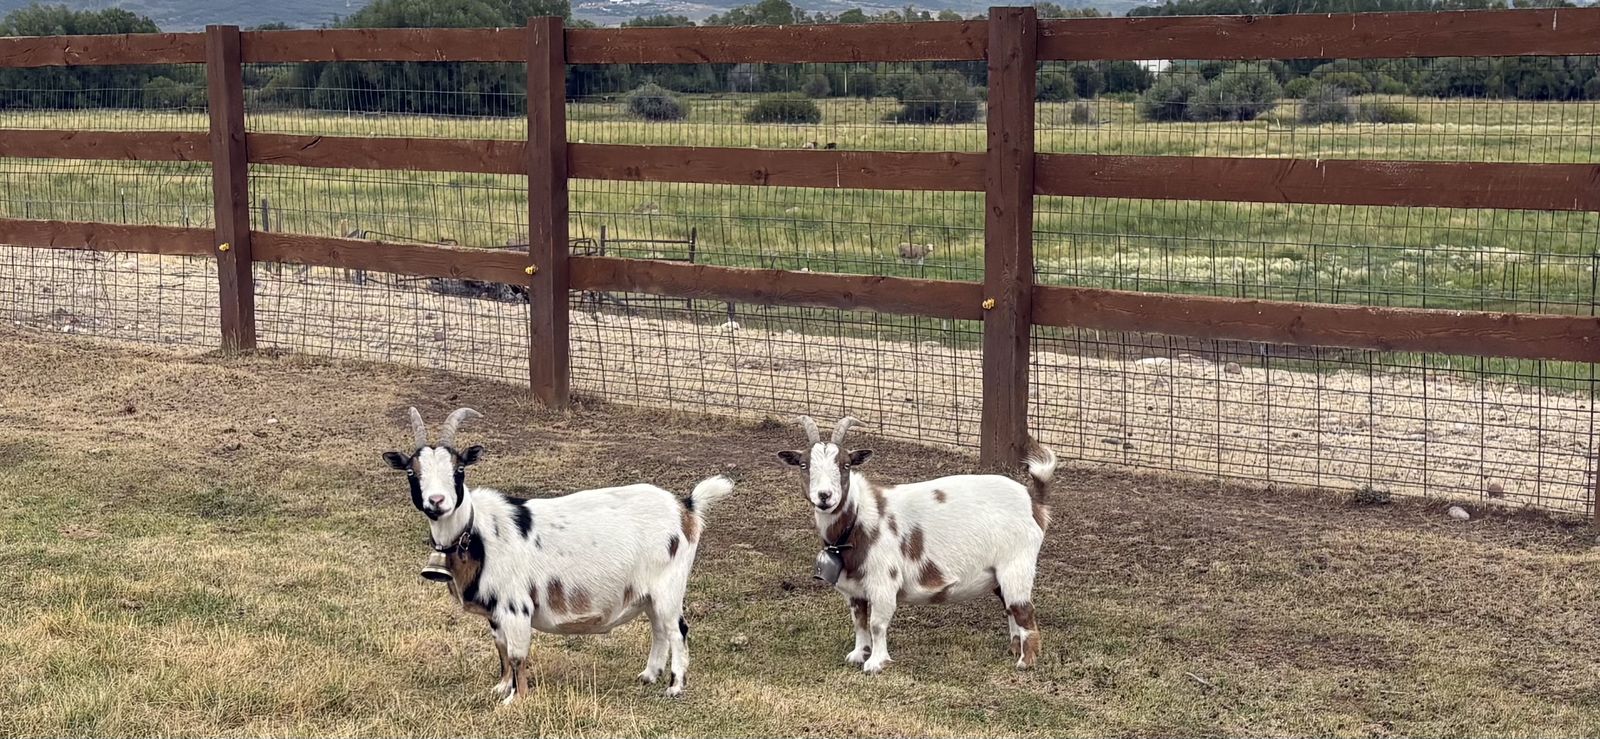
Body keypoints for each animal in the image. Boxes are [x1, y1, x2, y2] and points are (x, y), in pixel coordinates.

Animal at [383, 407, 735, 700]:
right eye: (412, 472)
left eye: (459, 470)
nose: (437, 501)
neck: (478, 530)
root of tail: (686, 507)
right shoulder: (495, 614)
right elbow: (500, 649)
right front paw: (501, 687)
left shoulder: (516, 606)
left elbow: (517, 655)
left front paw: (516, 700)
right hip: (649, 591)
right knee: (659, 627)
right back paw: (649, 675)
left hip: (668, 585)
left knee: (677, 629)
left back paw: (675, 687)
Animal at [776, 416, 1057, 674]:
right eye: (804, 465)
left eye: (845, 465)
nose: (824, 496)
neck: (860, 517)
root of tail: (1033, 501)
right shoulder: (854, 589)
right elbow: (859, 621)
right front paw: (858, 654)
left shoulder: (884, 581)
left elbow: (877, 623)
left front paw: (875, 663)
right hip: (998, 572)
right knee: (1010, 608)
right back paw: (1014, 649)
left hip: (1016, 563)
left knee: (1023, 609)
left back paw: (1025, 662)